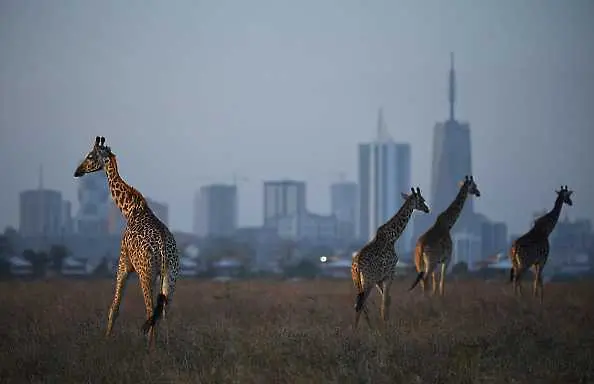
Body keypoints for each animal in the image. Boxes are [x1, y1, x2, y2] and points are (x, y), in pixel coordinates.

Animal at [72, 136, 178, 346]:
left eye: (90, 156)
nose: (77, 171)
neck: (130, 210)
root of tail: (163, 249)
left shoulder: (123, 262)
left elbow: (114, 307)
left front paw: (106, 340)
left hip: (146, 273)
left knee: (150, 310)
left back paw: (150, 347)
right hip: (170, 276)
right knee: (163, 312)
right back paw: (166, 346)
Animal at [350, 188, 428, 328]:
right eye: (422, 200)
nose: (427, 209)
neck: (393, 237)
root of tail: (356, 266)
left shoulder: (380, 279)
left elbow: (387, 300)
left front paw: (385, 323)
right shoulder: (390, 273)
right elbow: (386, 301)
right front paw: (386, 326)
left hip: (357, 282)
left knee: (359, 304)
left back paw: (364, 327)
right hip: (368, 282)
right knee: (361, 303)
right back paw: (360, 329)